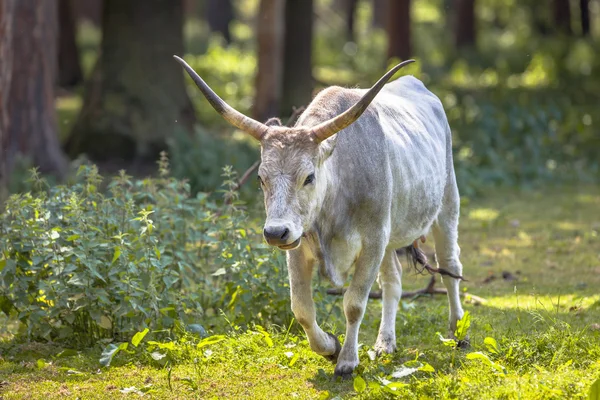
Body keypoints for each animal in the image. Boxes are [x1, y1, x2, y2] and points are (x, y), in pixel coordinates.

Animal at [173, 54, 464, 376]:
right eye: (261, 178)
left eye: (309, 177)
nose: (274, 232)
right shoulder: (299, 246)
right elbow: (301, 308)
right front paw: (330, 347)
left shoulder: (373, 240)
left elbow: (354, 303)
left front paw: (347, 360)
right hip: (391, 236)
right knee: (393, 281)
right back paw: (385, 342)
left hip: (447, 204)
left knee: (450, 264)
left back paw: (457, 330)